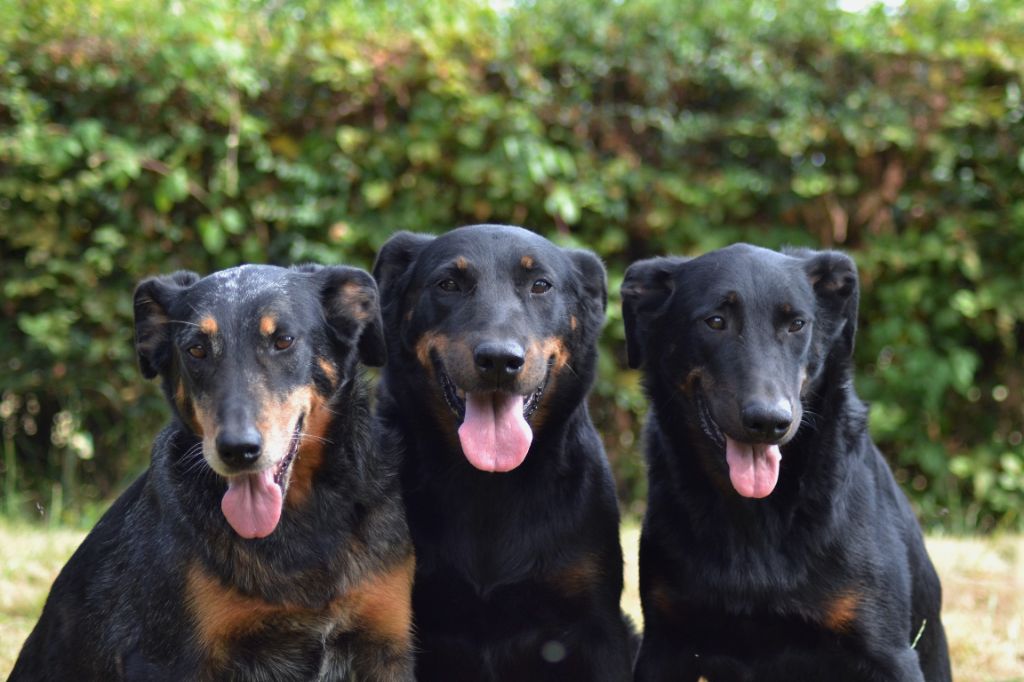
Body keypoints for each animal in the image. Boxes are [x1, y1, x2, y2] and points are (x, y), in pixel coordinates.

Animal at [9, 262, 413, 679]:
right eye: (196, 350)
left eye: (283, 340)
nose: (237, 449)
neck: (301, 524)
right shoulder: (168, 660)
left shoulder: (386, 647)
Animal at [622, 244, 950, 679]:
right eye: (715, 321)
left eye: (797, 324)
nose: (769, 421)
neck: (755, 515)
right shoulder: (665, 642)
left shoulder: (889, 654)